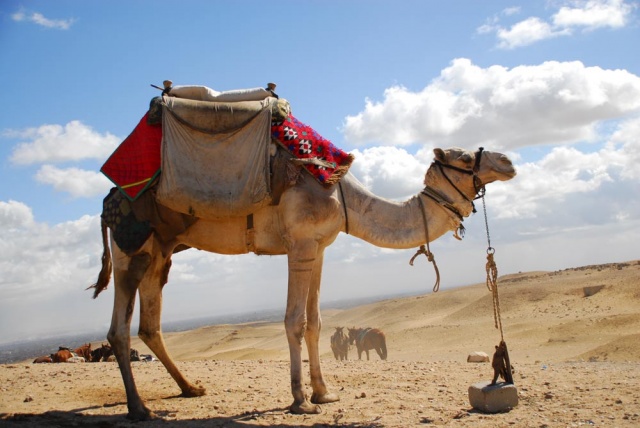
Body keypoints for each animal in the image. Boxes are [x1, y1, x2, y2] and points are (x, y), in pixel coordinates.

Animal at [91, 145, 515, 420]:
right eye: (464, 157)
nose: (509, 161)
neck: (343, 198)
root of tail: (108, 199)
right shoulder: (300, 243)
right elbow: (294, 321)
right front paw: (300, 400)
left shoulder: (319, 248)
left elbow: (316, 322)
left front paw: (324, 393)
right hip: (132, 246)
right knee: (118, 329)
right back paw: (139, 408)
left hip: (161, 250)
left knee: (150, 324)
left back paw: (190, 388)